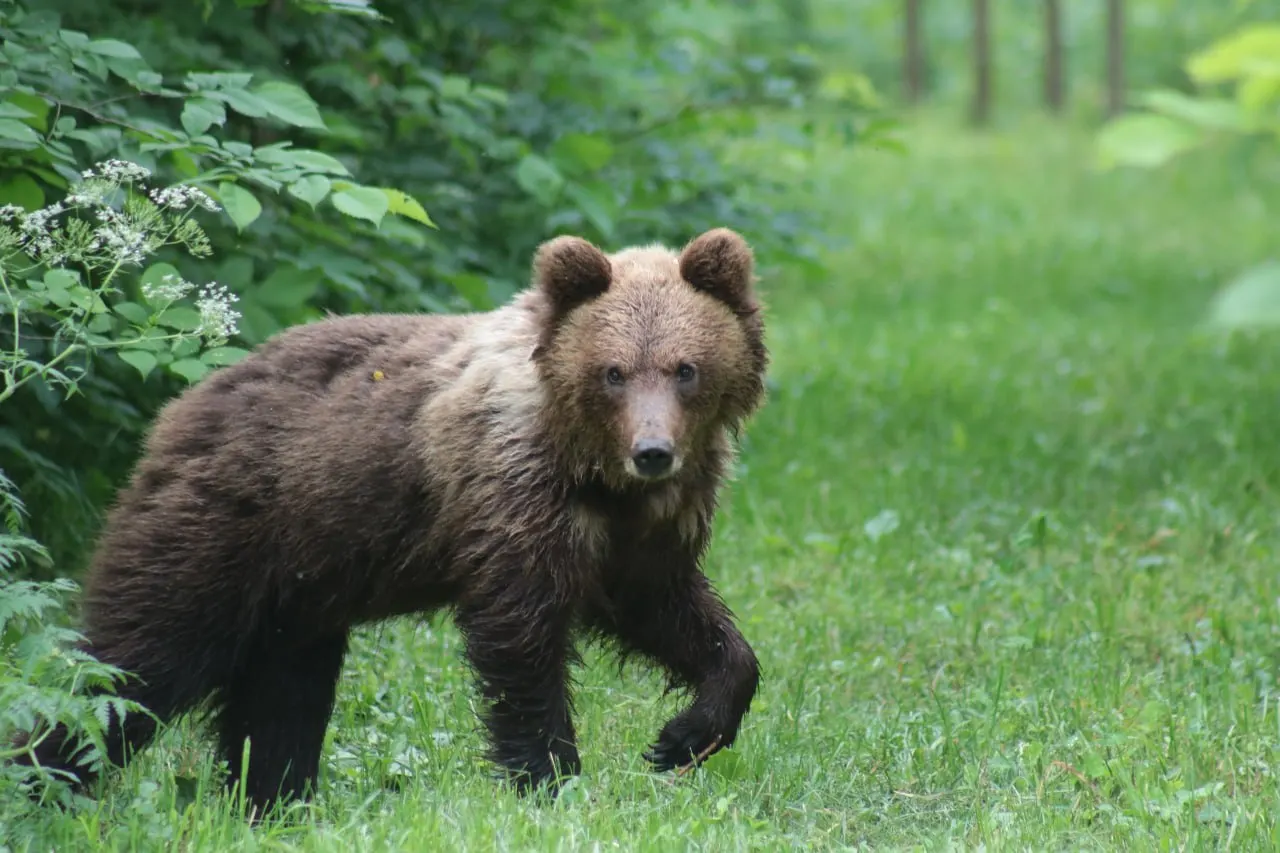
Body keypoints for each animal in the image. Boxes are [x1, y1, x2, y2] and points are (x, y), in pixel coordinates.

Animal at [8, 227, 767, 817]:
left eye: (685, 368)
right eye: (614, 371)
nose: (653, 451)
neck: (595, 474)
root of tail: (179, 410)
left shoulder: (644, 533)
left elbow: (678, 617)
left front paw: (684, 733)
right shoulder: (513, 495)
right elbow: (521, 640)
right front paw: (552, 779)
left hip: (299, 587)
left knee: (281, 697)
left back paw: (273, 800)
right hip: (218, 532)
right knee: (128, 668)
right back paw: (42, 780)